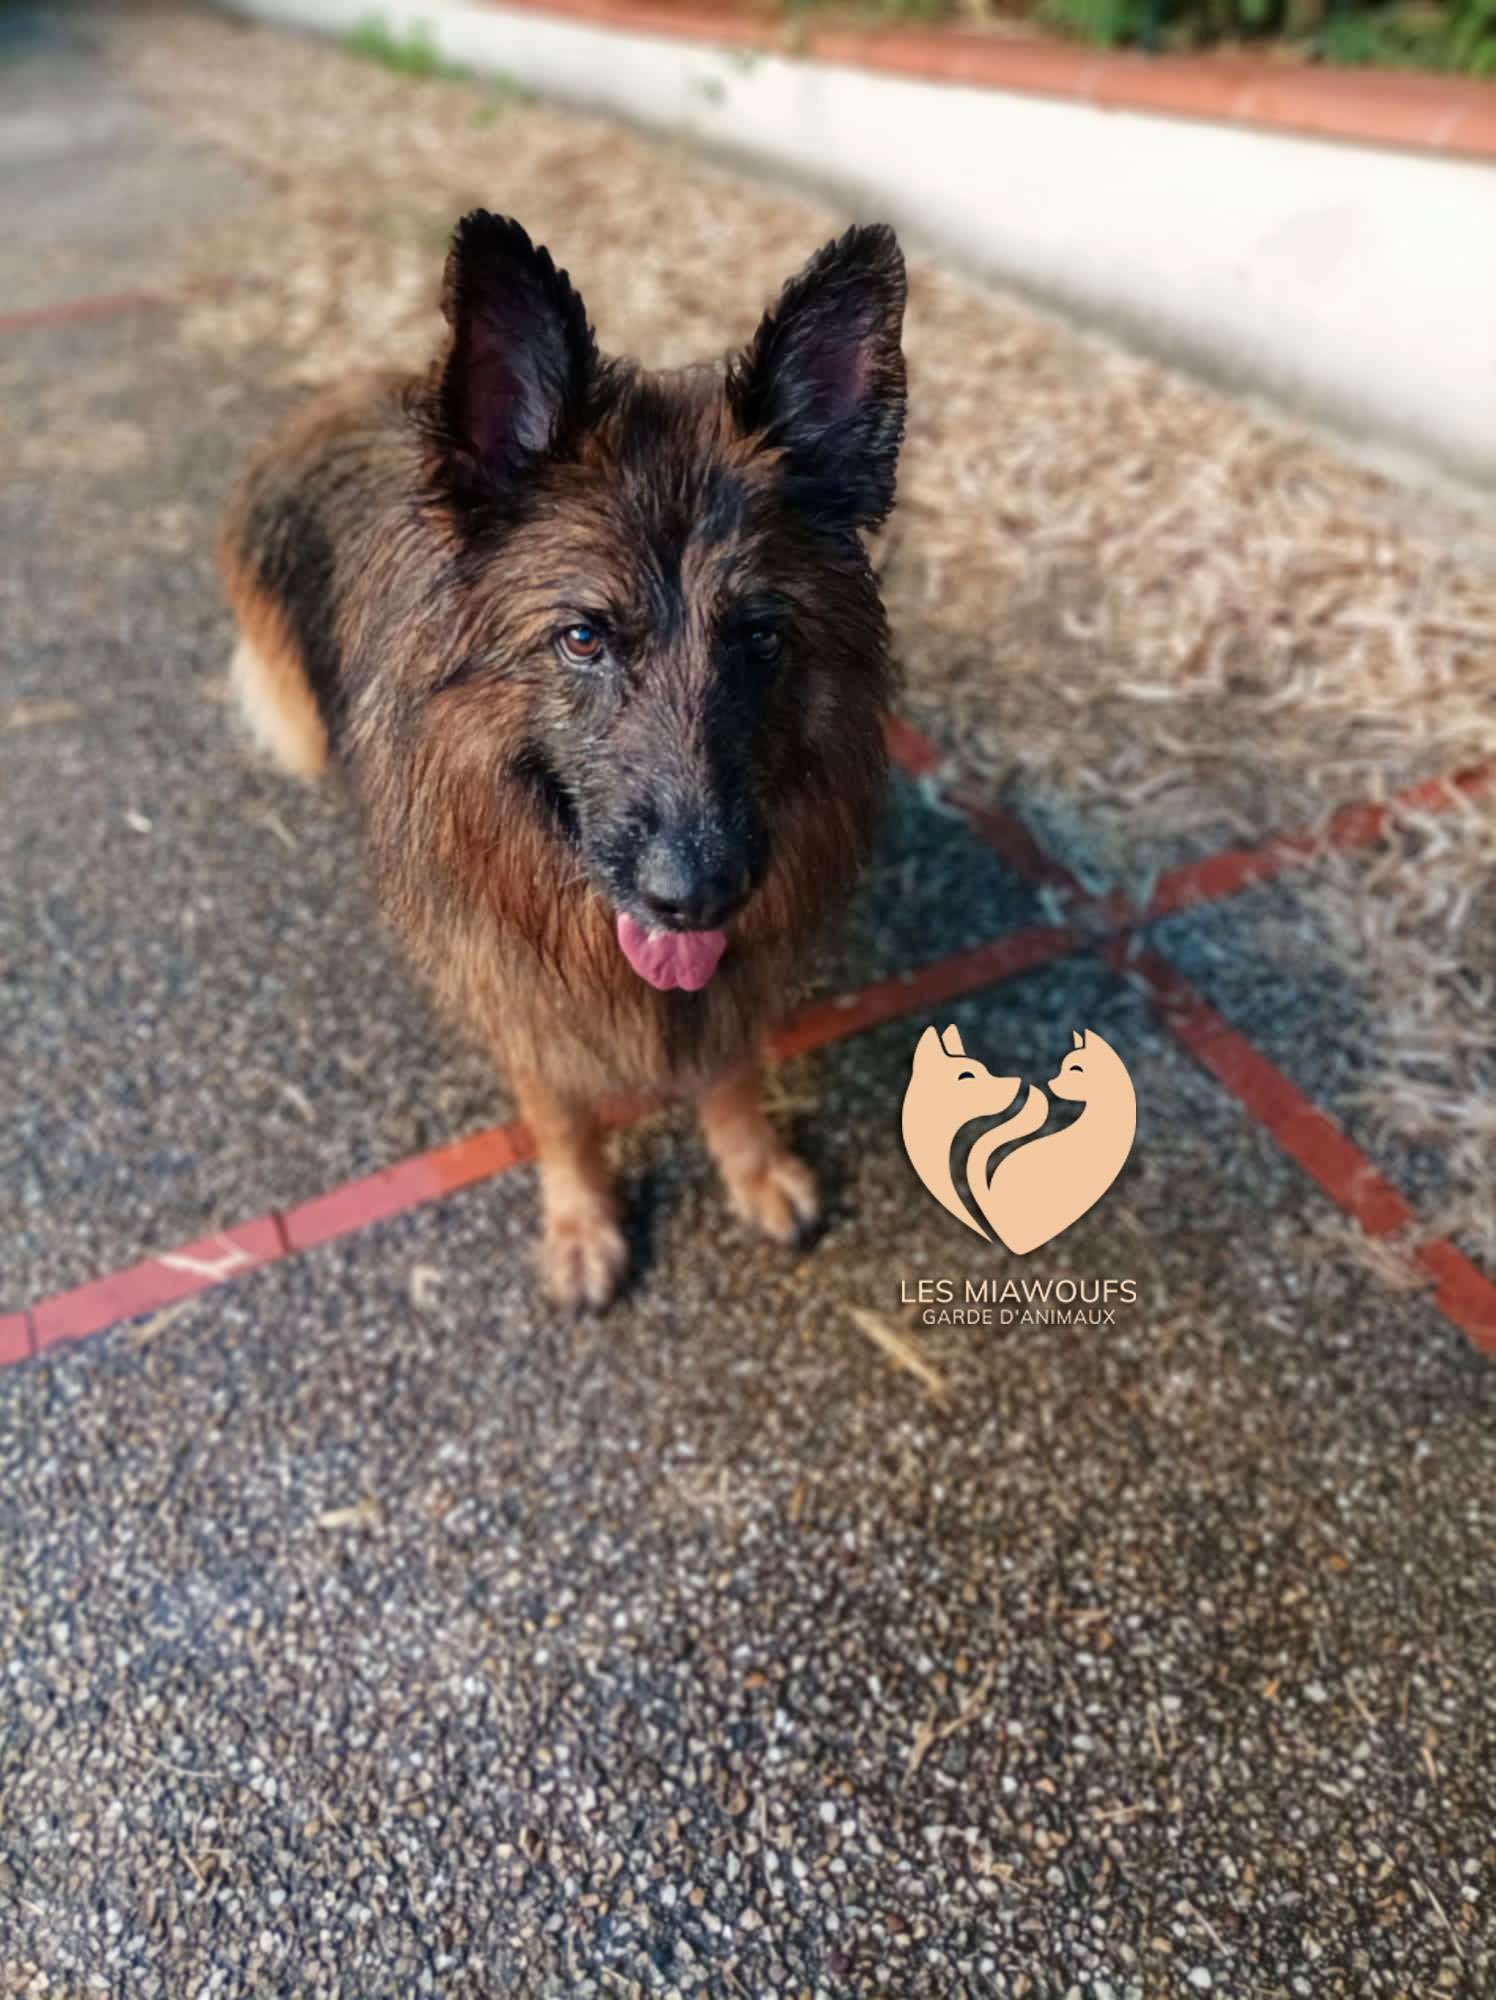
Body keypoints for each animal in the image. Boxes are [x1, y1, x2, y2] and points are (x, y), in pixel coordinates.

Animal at [221, 211, 907, 1307]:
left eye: (761, 638)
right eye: (582, 638)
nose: (694, 896)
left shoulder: (731, 975)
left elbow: (729, 1069)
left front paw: (754, 1166)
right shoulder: (510, 986)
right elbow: (559, 1109)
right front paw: (584, 1219)